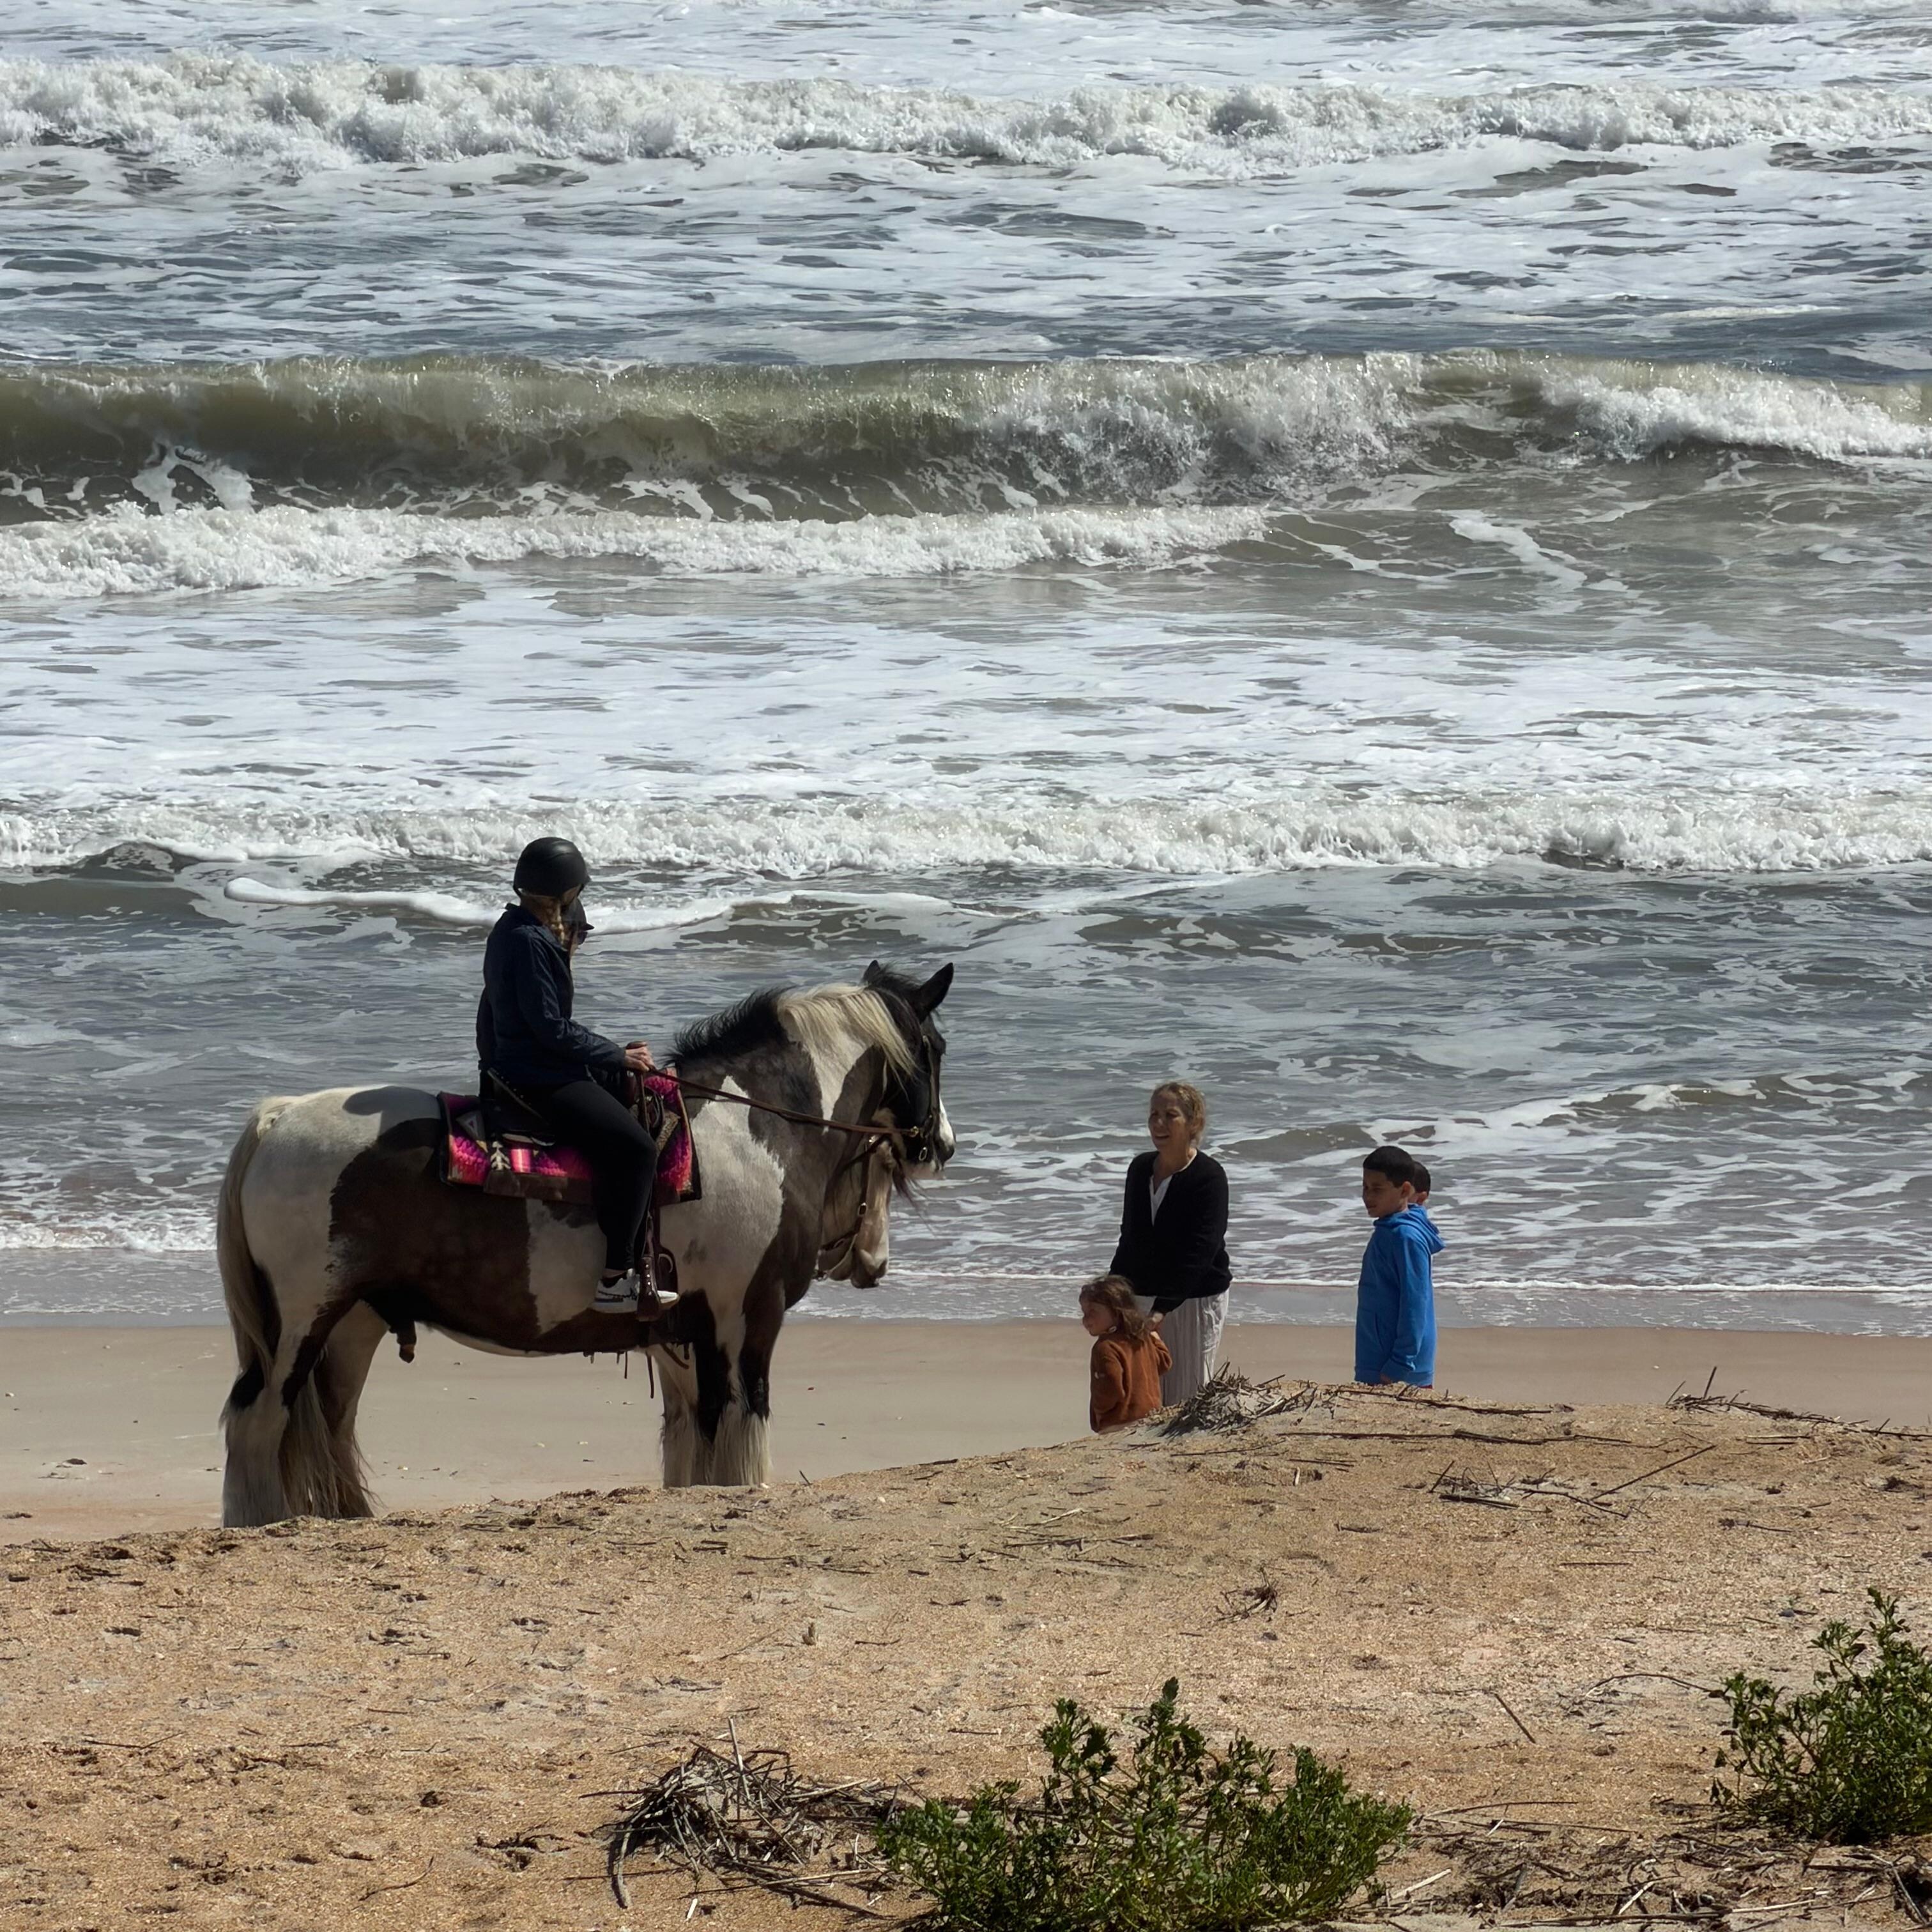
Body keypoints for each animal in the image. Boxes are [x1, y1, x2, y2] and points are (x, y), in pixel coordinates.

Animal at [215, 962, 955, 1525]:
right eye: (936, 1049)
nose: (942, 1144)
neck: (755, 1131)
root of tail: (278, 1117)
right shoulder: (747, 1317)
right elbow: (742, 1431)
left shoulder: (686, 1336)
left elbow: (698, 1445)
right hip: (301, 1322)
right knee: (260, 1419)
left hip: (354, 1324)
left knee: (330, 1425)